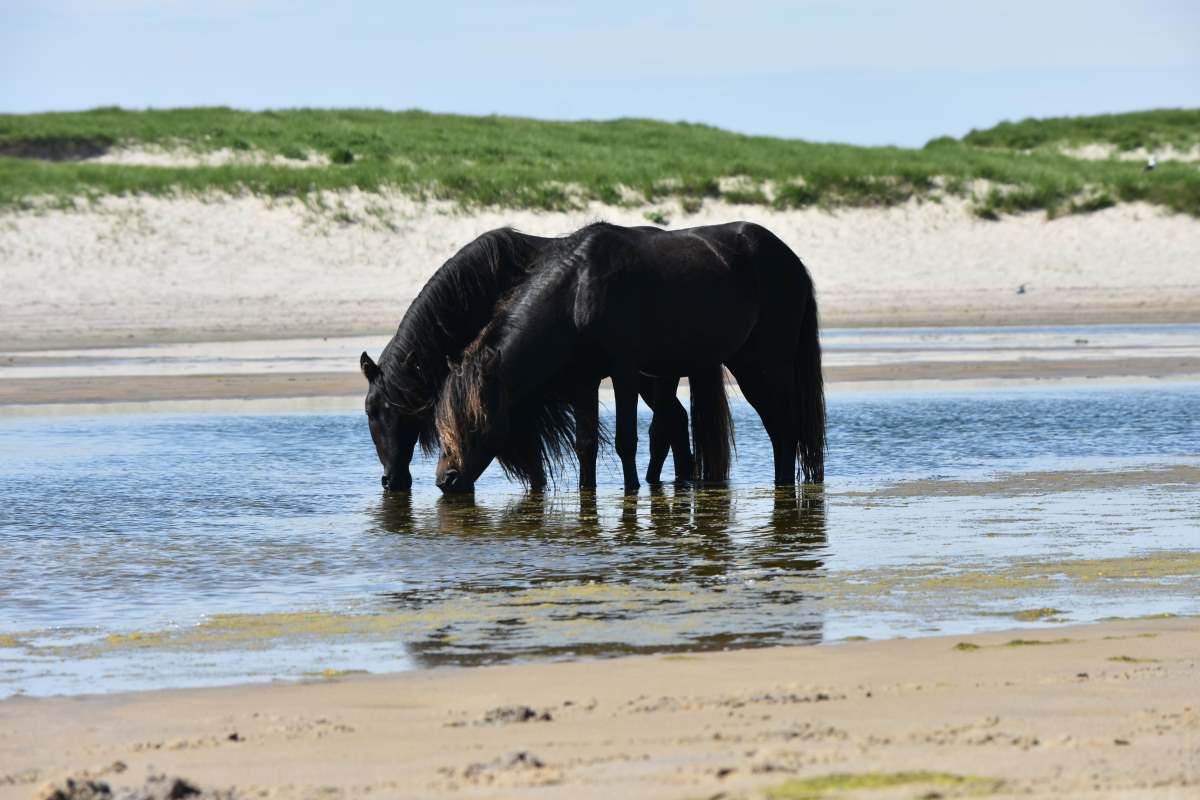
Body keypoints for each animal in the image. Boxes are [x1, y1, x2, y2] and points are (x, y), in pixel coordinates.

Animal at [439, 220, 825, 494]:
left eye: (474, 420)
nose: (446, 480)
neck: (579, 291)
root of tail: (792, 260)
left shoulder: (623, 372)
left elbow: (626, 440)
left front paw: (632, 490)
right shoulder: (584, 381)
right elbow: (586, 443)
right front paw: (588, 491)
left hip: (764, 365)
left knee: (785, 427)